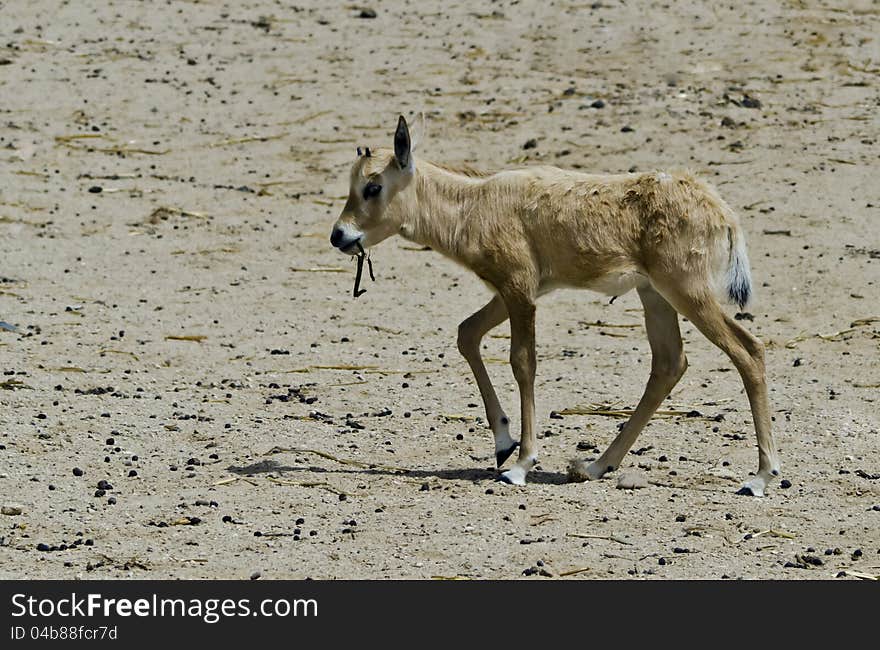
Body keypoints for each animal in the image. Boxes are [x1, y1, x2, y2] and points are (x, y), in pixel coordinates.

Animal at [328, 116, 776, 494]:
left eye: (373, 186)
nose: (339, 235)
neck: (476, 203)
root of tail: (719, 209)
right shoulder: (516, 292)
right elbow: (466, 334)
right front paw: (503, 443)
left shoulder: (519, 290)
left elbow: (523, 362)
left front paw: (520, 464)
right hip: (655, 296)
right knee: (669, 363)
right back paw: (595, 466)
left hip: (687, 291)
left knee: (747, 351)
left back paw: (760, 477)